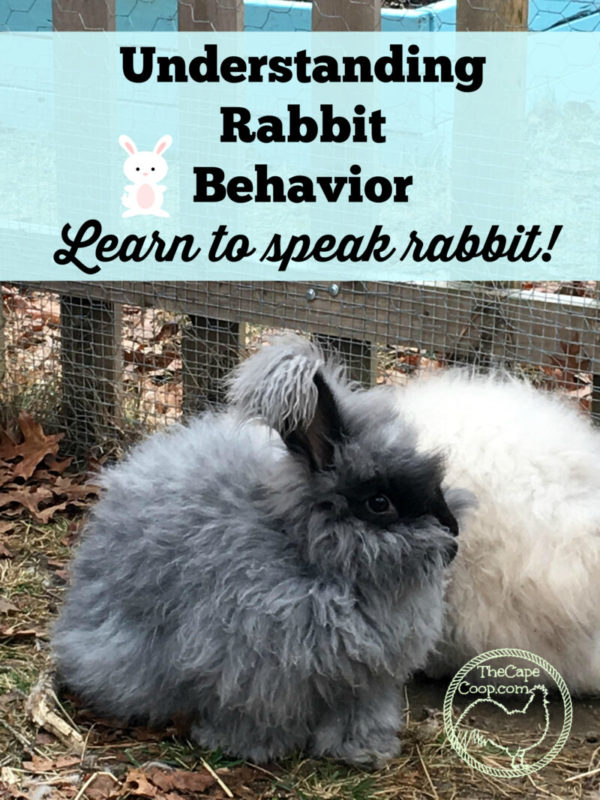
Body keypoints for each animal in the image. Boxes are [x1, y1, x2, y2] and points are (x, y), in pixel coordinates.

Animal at [53, 335, 465, 767]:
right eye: (379, 503)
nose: (453, 537)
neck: (308, 556)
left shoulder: (366, 683)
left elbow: (360, 715)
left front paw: (366, 751)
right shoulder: (246, 669)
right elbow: (253, 713)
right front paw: (249, 747)